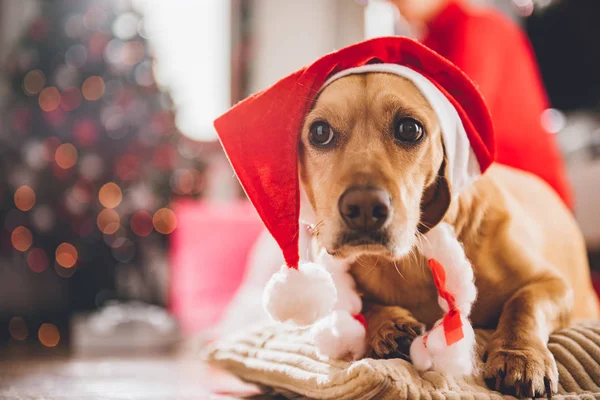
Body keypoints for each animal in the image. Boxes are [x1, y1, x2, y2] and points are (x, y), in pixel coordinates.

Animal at [296, 72, 600, 396]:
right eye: (320, 132)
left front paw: (519, 355)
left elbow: (524, 304)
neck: (409, 260)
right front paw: (390, 325)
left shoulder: (553, 284)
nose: (364, 207)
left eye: (409, 129)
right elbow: (362, 303)